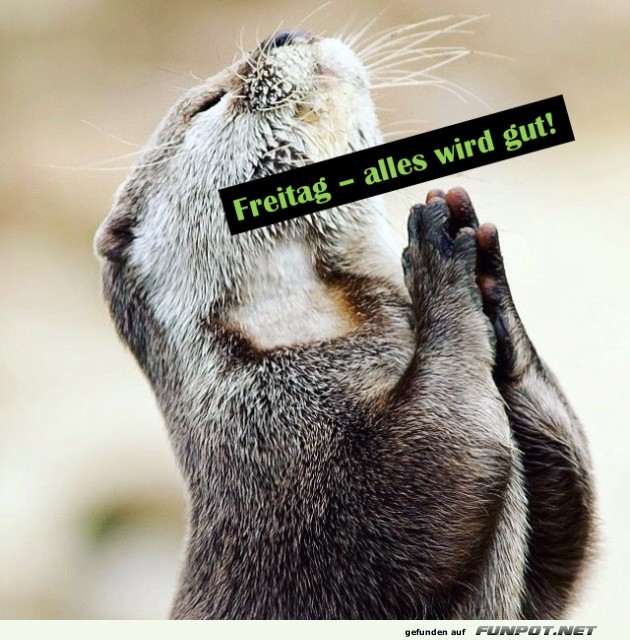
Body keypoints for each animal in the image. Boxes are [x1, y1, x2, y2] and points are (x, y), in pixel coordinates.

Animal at [94, 30, 595, 619]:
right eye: (209, 103)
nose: (283, 34)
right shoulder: (284, 443)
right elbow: (433, 466)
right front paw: (438, 258)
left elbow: (562, 547)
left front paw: (490, 284)